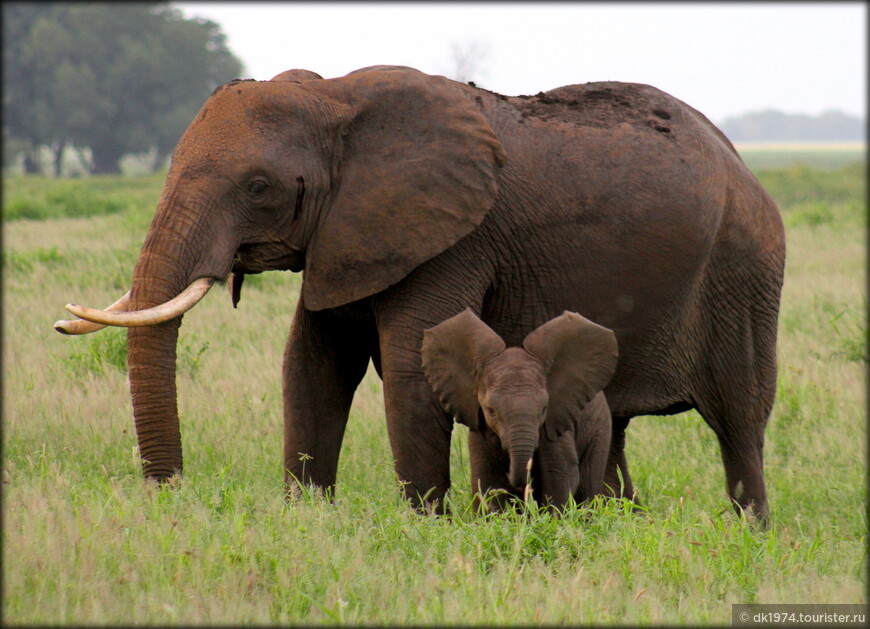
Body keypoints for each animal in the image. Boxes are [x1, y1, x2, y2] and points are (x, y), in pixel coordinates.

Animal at [422, 310, 620, 510]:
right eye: (490, 411)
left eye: (544, 409)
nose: (514, 478)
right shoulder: (481, 427)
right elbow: (486, 480)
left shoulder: (555, 426)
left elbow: (559, 474)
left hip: (599, 431)